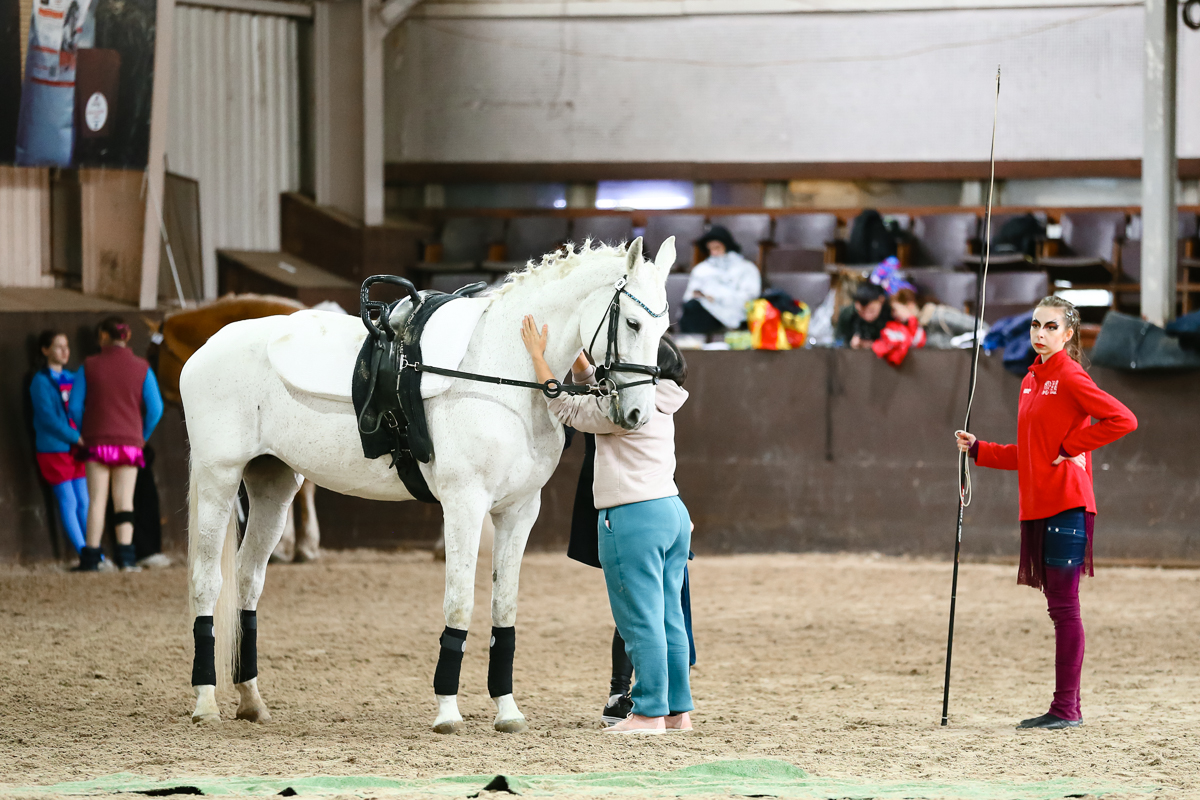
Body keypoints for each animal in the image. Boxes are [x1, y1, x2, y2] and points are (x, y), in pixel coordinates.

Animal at [181, 237, 675, 733]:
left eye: (664, 326)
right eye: (632, 322)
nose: (637, 415)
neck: (503, 368)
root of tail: (206, 348)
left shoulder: (519, 511)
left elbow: (504, 606)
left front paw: (507, 711)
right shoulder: (464, 504)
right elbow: (459, 602)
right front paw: (448, 711)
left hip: (274, 483)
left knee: (248, 579)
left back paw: (251, 701)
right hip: (219, 479)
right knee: (206, 581)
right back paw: (206, 703)